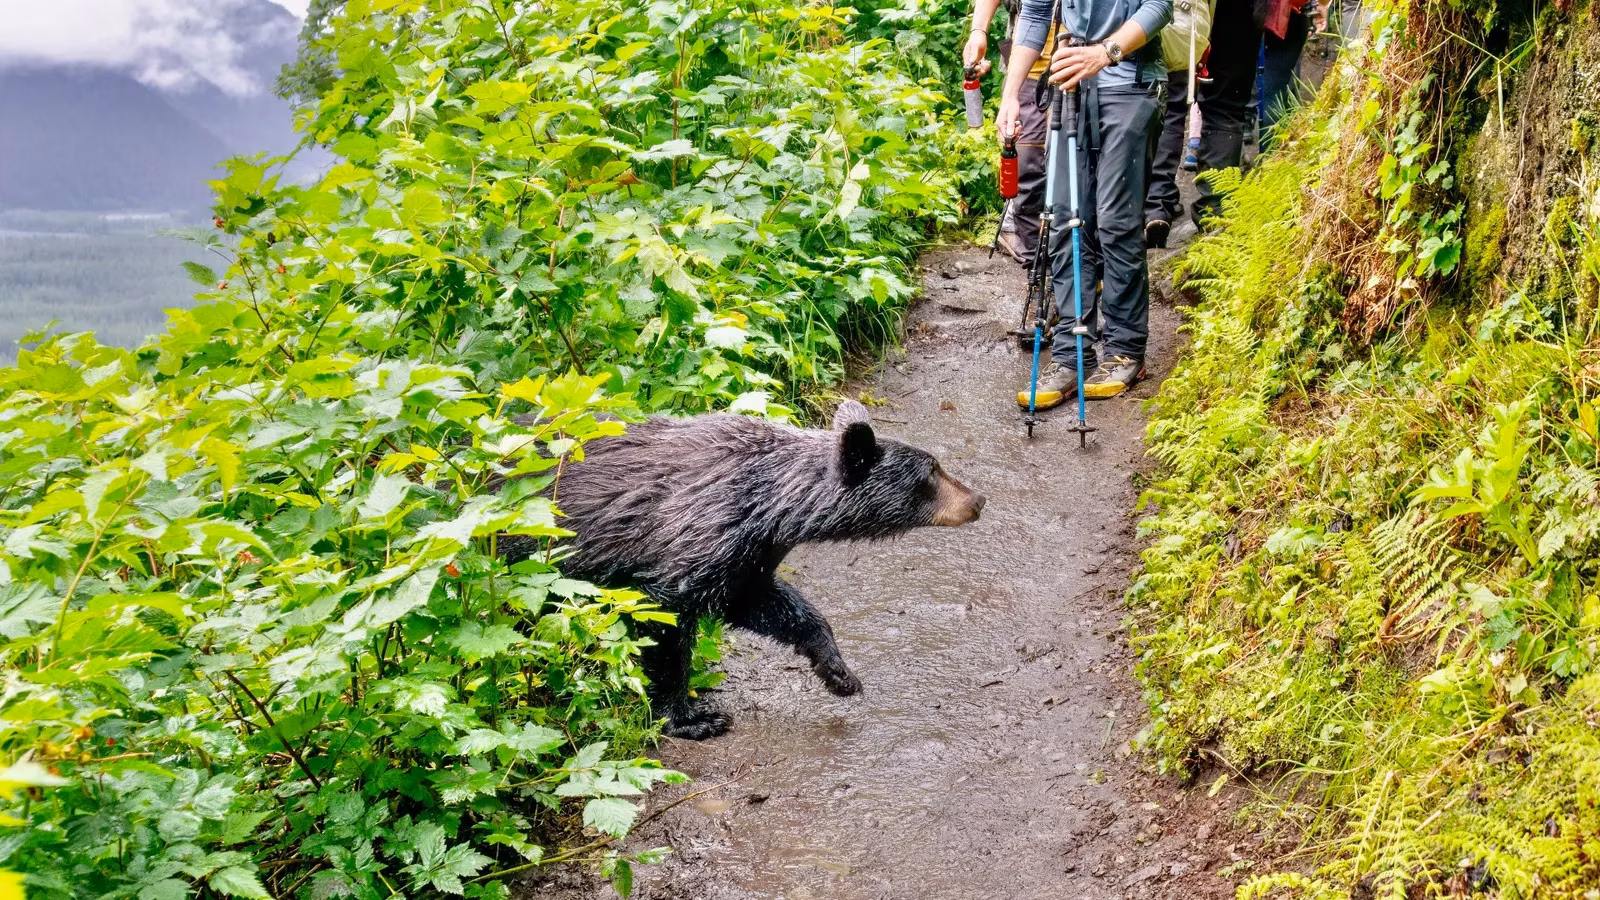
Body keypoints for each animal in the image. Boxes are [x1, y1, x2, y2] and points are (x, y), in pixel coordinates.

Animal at [499, 400, 985, 740]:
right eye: (931, 471)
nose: (978, 499)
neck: (766, 504)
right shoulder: (695, 536)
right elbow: (664, 623)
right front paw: (691, 718)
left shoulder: (746, 555)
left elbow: (769, 605)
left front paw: (838, 672)